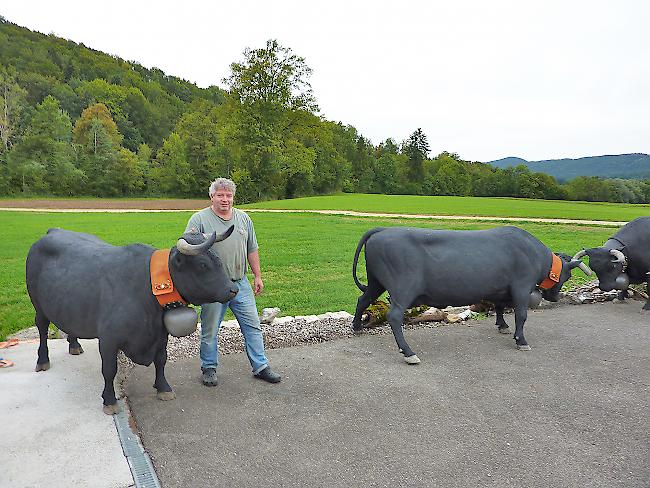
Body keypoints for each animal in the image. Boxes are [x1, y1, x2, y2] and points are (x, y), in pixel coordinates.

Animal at [27, 229, 237, 416]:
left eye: (218, 259)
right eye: (203, 264)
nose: (233, 289)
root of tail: (53, 231)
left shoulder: (161, 335)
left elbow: (161, 360)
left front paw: (163, 388)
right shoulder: (108, 339)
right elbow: (109, 370)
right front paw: (109, 400)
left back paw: (74, 345)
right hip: (38, 305)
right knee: (42, 329)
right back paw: (42, 360)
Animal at [352, 227, 588, 364]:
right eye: (567, 275)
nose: (555, 298)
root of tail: (383, 230)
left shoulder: (500, 288)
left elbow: (500, 307)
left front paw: (502, 325)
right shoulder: (521, 287)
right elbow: (521, 315)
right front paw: (521, 340)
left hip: (376, 281)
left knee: (363, 299)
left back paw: (357, 327)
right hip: (403, 288)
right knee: (394, 316)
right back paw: (409, 353)